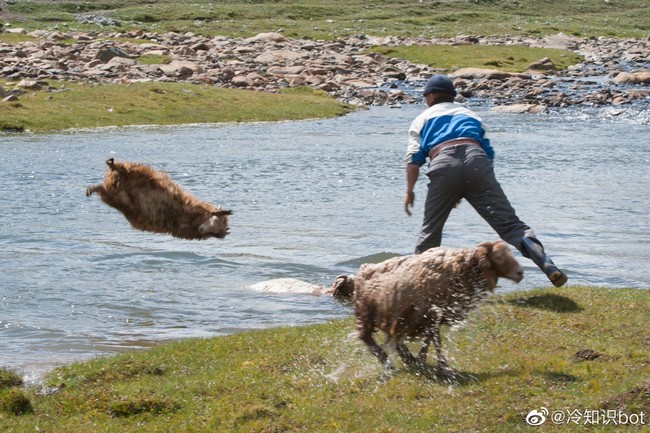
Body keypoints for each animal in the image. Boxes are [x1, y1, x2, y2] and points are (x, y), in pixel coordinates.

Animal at [86, 158, 232, 240]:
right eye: (218, 222)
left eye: (218, 233)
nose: (201, 230)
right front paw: (224, 211)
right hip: (135, 172)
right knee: (122, 169)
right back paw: (111, 164)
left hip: (114, 195)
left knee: (105, 190)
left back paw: (93, 188)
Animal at [350, 241, 520, 372]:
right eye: (498, 256)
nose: (520, 273)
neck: (459, 266)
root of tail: (361, 271)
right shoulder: (429, 311)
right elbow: (433, 337)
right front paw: (430, 362)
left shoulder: (435, 313)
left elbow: (433, 337)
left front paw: (430, 362)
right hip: (366, 314)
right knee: (367, 338)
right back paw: (387, 362)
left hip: (392, 316)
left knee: (393, 338)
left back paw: (404, 357)